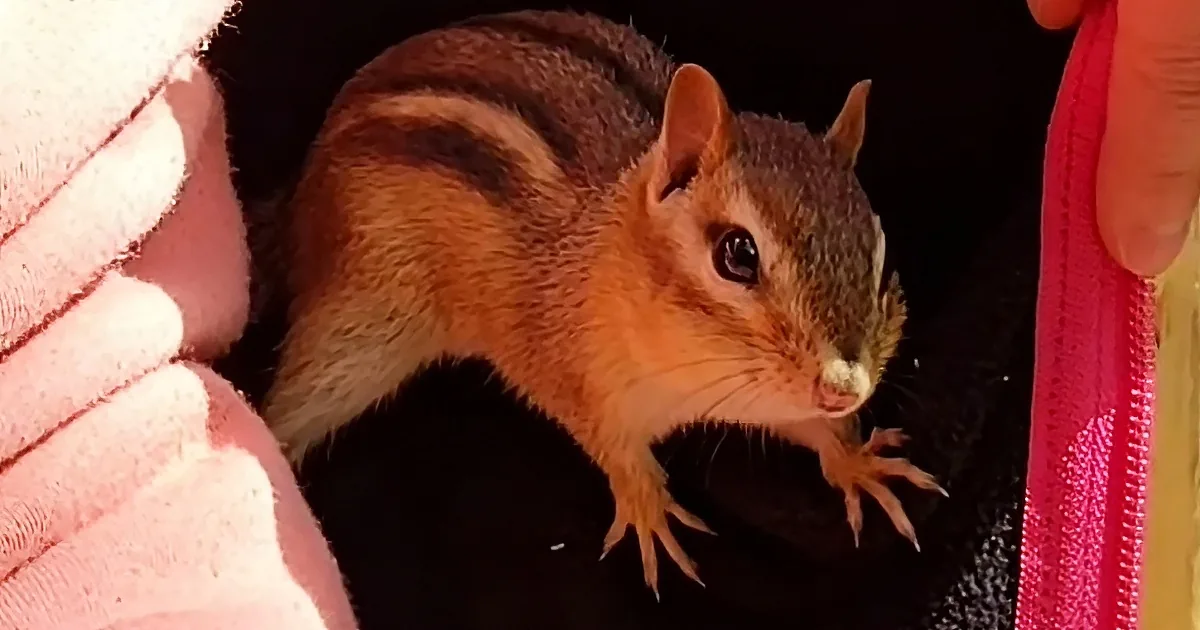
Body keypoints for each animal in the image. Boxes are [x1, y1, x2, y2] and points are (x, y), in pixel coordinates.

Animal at [260, 9, 946, 599]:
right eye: (737, 254)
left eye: (880, 248)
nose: (844, 387)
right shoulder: (574, 372)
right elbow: (611, 446)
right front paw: (648, 507)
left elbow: (812, 429)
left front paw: (857, 461)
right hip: (357, 327)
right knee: (288, 408)